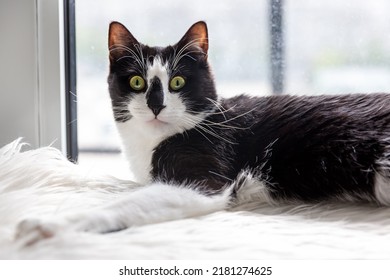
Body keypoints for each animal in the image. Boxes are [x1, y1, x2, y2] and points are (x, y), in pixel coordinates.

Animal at [16, 20, 390, 243]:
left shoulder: (204, 176)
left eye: (177, 82)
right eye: (137, 82)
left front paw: (51, 225)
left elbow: (130, 203)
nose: (156, 104)